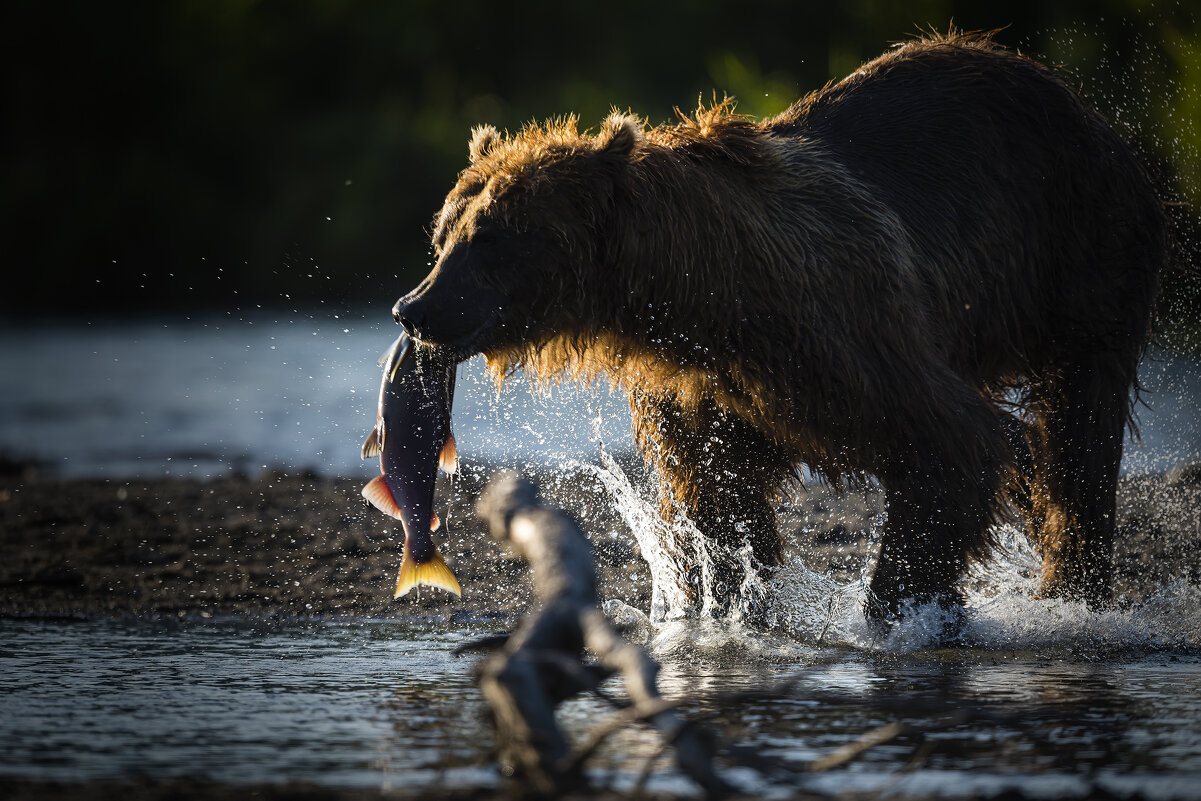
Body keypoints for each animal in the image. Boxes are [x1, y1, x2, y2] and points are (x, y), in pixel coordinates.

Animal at [389, 32, 1167, 619]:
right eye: (443, 233)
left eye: (491, 237)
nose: (414, 308)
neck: (694, 300)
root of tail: (1072, 98)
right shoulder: (700, 390)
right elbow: (720, 498)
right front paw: (734, 605)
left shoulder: (842, 333)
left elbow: (949, 443)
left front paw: (898, 609)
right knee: (1043, 443)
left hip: (1081, 252)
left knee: (1079, 421)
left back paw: (1072, 582)